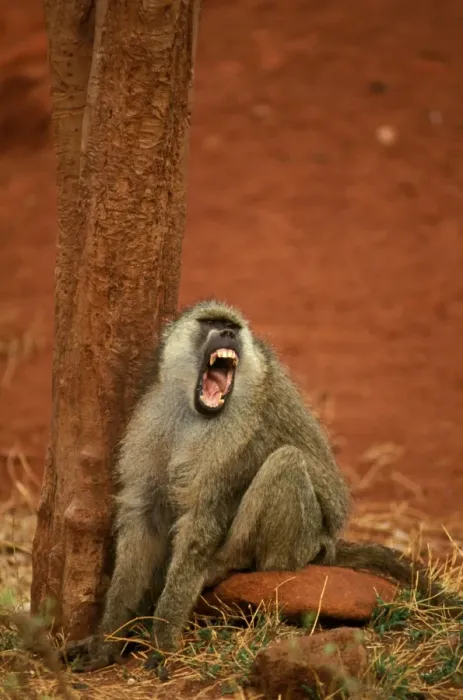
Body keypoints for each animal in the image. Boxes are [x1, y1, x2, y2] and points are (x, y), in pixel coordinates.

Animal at [64, 299, 462, 672]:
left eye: (233, 327)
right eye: (211, 322)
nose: (228, 334)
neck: (195, 413)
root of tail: (328, 545)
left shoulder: (233, 443)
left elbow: (200, 526)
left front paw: (162, 640)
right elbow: (143, 519)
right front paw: (107, 640)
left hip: (303, 546)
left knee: (285, 464)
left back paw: (225, 566)